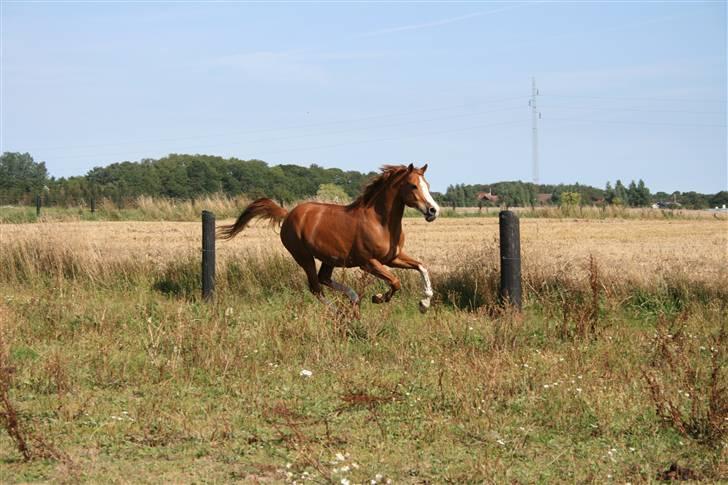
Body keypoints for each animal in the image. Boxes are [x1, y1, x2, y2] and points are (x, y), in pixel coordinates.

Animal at [216, 163, 440, 312]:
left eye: (427, 185)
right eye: (413, 185)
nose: (433, 211)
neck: (379, 222)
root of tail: (288, 214)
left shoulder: (393, 258)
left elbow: (421, 267)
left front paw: (424, 303)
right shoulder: (368, 262)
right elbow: (395, 281)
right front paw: (378, 298)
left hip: (329, 258)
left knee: (324, 279)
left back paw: (353, 299)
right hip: (304, 257)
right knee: (316, 287)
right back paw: (340, 312)